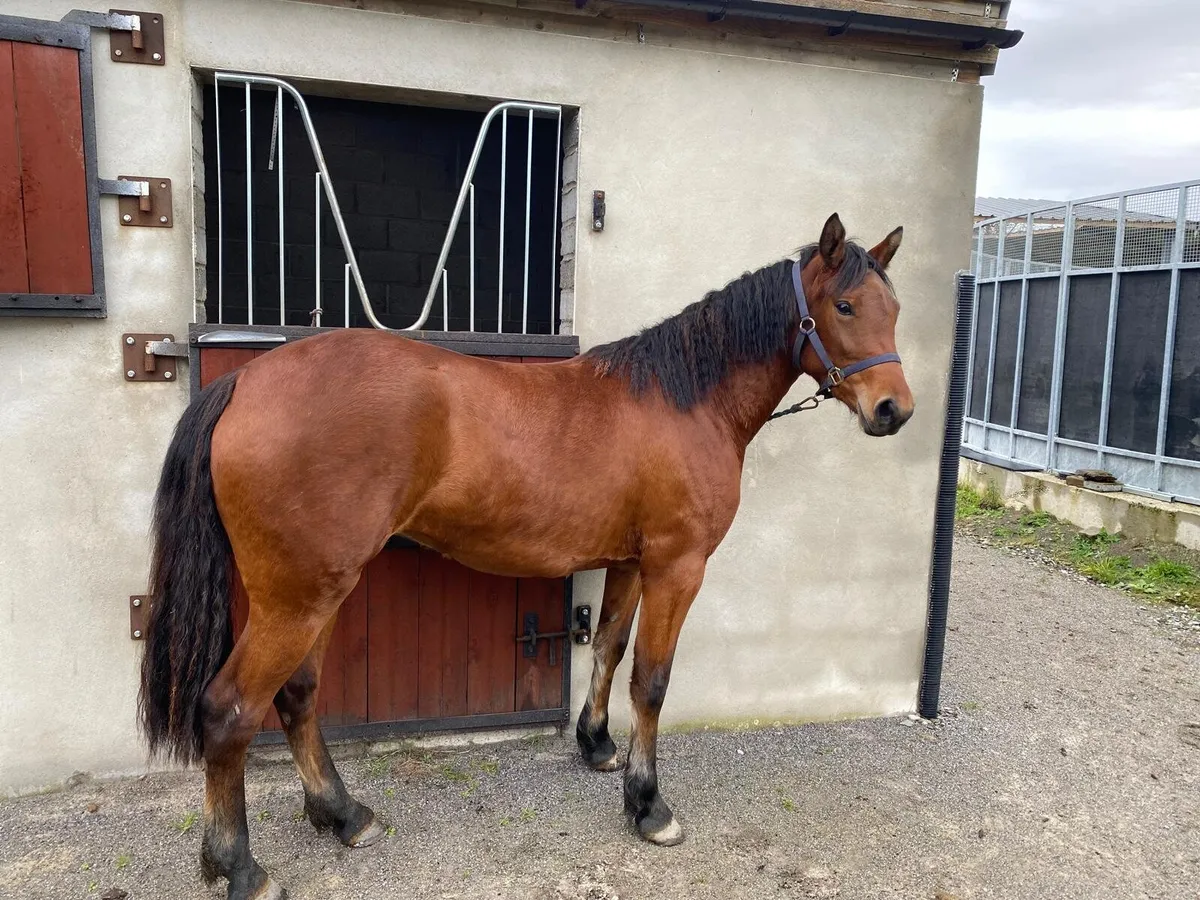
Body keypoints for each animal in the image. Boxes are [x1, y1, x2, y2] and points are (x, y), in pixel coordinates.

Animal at [138, 212, 913, 899]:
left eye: (895, 308)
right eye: (844, 305)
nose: (894, 410)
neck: (684, 400)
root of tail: (245, 383)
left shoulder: (630, 562)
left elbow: (608, 650)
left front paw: (597, 746)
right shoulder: (677, 566)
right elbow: (652, 681)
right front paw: (648, 805)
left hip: (319, 591)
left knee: (297, 697)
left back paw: (343, 814)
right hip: (296, 598)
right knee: (230, 712)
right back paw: (241, 868)